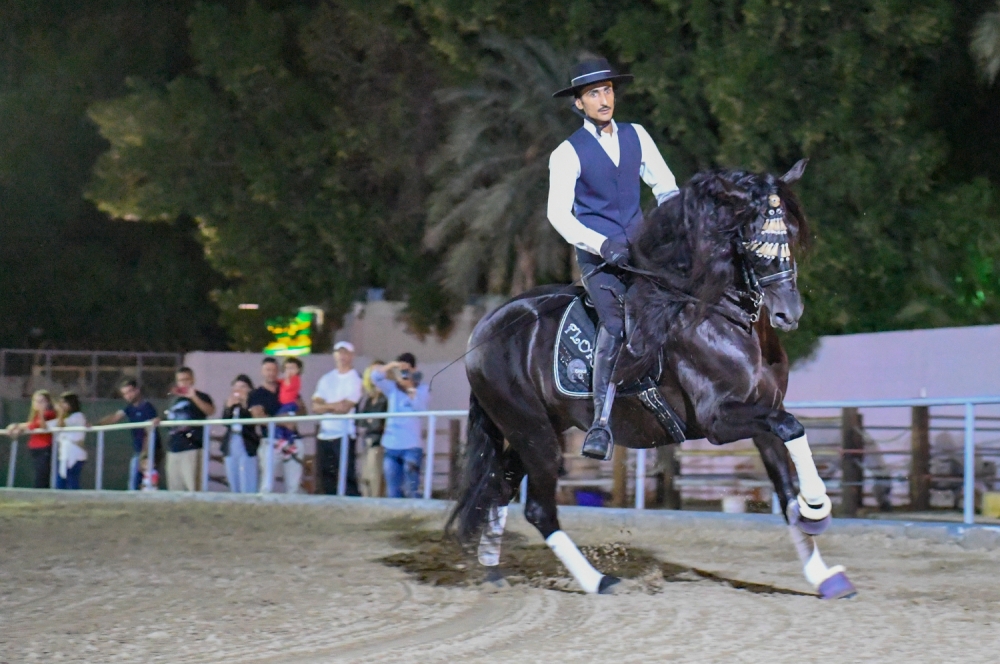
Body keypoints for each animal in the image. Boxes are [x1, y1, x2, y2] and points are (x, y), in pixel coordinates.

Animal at [450, 162, 856, 600]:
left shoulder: (763, 414)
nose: (788, 313)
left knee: (500, 488)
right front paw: (818, 507)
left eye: (791, 234)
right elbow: (792, 428)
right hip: (533, 434)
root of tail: (482, 331)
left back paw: (493, 572)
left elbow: (786, 485)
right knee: (538, 509)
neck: (721, 316)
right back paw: (598, 581)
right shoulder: (718, 421)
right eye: (750, 236)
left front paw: (824, 574)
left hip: (536, 430)